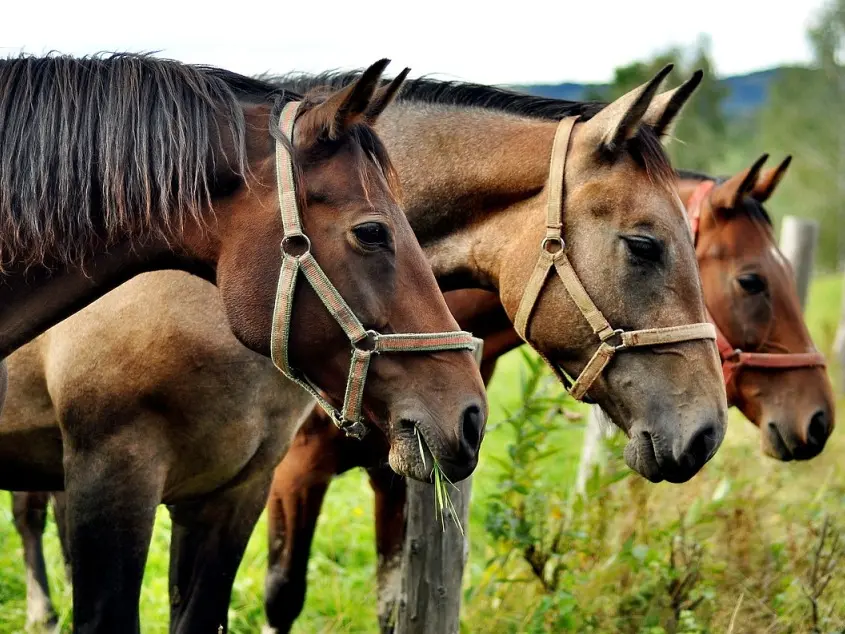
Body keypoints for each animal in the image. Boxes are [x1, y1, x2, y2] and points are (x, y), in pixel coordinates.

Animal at [258, 154, 836, 632]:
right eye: (751, 281)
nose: (820, 419)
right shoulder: (294, 473)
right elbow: (282, 597)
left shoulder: (397, 471)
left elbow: (391, 603)